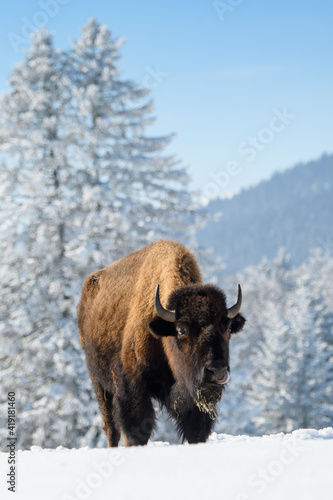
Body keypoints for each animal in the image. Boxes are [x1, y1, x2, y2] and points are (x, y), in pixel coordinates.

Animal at [77, 240, 244, 448]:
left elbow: (196, 431)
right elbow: (135, 432)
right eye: (181, 330)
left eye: (228, 328)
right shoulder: (132, 389)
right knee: (111, 428)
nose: (217, 371)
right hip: (99, 382)